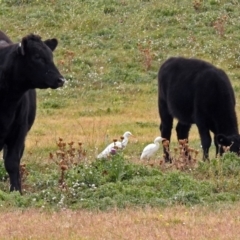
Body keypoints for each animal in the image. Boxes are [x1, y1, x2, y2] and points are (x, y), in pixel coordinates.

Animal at [0, 30, 65, 193]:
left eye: (51, 56)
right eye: (37, 57)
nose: (61, 79)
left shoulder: (19, 131)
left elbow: (12, 163)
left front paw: (16, 191)